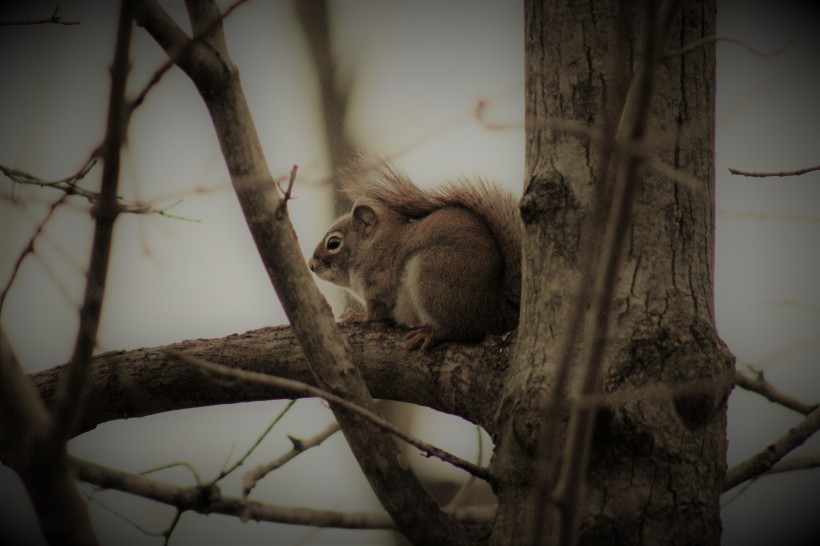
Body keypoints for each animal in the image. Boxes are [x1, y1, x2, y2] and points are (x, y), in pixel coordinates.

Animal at [308, 166, 520, 350]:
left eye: (333, 243)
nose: (311, 265)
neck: (371, 248)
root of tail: (498, 307)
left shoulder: (380, 286)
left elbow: (375, 312)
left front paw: (357, 316)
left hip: (434, 278)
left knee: (463, 328)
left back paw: (432, 333)